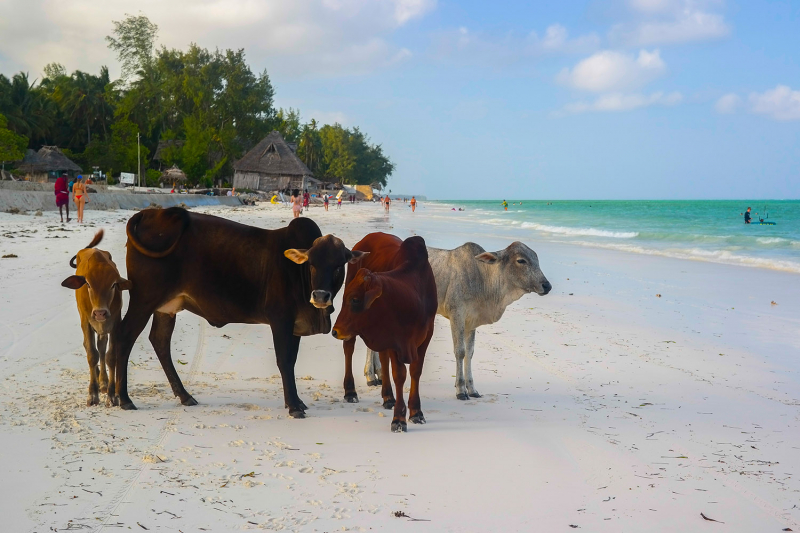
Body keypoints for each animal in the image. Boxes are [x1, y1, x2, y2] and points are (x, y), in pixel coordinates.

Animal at [330, 234, 438, 432]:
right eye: (346, 299)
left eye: (355, 299)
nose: (335, 331)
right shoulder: (395, 339)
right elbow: (399, 374)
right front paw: (399, 419)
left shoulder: (426, 335)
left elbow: (415, 371)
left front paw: (416, 412)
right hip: (355, 333)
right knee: (349, 349)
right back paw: (350, 391)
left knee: (382, 357)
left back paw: (388, 396)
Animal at [358, 241, 552, 400]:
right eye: (521, 261)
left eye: (536, 259)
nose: (547, 285)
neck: (482, 278)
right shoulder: (456, 315)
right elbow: (460, 351)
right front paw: (460, 390)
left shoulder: (471, 321)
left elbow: (470, 352)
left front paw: (472, 389)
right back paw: (371, 375)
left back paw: (377, 374)